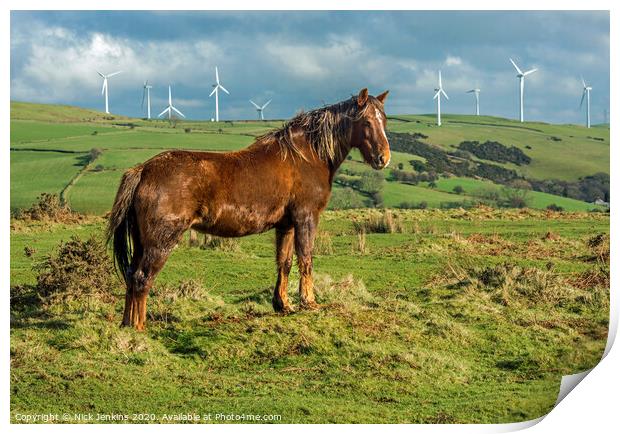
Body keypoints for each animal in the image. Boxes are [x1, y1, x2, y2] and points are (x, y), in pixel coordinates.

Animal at [106, 90, 388, 330]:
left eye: (384, 120)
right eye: (366, 122)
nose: (383, 158)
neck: (305, 156)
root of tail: (143, 170)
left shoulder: (286, 224)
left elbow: (284, 263)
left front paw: (283, 305)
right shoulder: (306, 218)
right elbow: (306, 258)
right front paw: (309, 302)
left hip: (141, 241)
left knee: (131, 276)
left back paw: (127, 325)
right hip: (160, 241)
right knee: (142, 278)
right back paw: (139, 328)